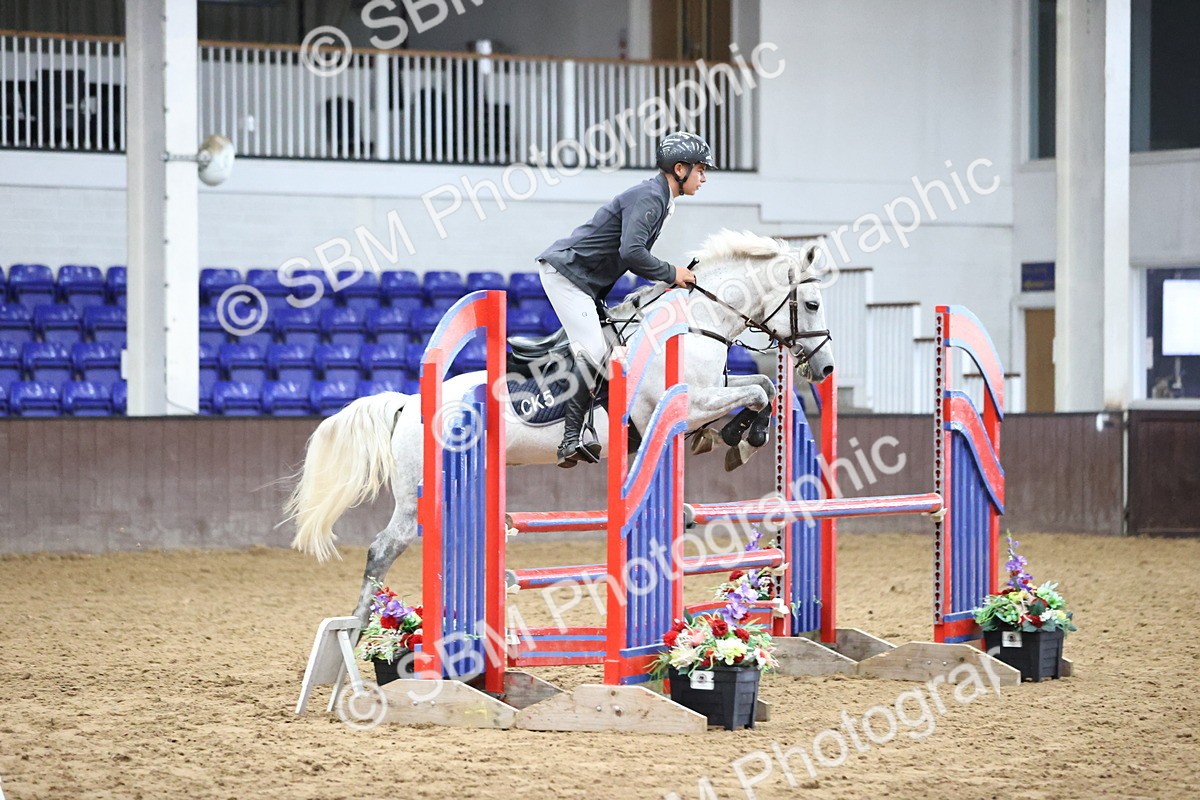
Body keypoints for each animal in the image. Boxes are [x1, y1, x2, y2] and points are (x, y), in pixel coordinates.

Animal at [286, 229, 836, 622]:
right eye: (811, 303)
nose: (826, 368)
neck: (694, 321)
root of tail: (408, 404)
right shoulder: (686, 402)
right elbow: (759, 392)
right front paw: (743, 440)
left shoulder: (705, 395)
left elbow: (760, 387)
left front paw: (731, 437)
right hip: (416, 493)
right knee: (383, 549)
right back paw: (358, 634)